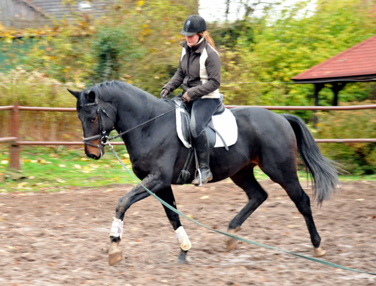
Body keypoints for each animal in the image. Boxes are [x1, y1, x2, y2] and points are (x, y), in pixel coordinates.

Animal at [69, 80, 340, 266]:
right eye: (79, 117)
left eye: (93, 116)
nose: (91, 154)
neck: (149, 125)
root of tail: (280, 117)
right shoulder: (160, 184)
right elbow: (172, 216)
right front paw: (184, 249)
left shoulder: (156, 180)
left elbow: (123, 202)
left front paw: (114, 247)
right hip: (241, 171)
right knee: (258, 195)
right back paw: (231, 235)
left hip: (281, 171)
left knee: (301, 200)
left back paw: (317, 247)